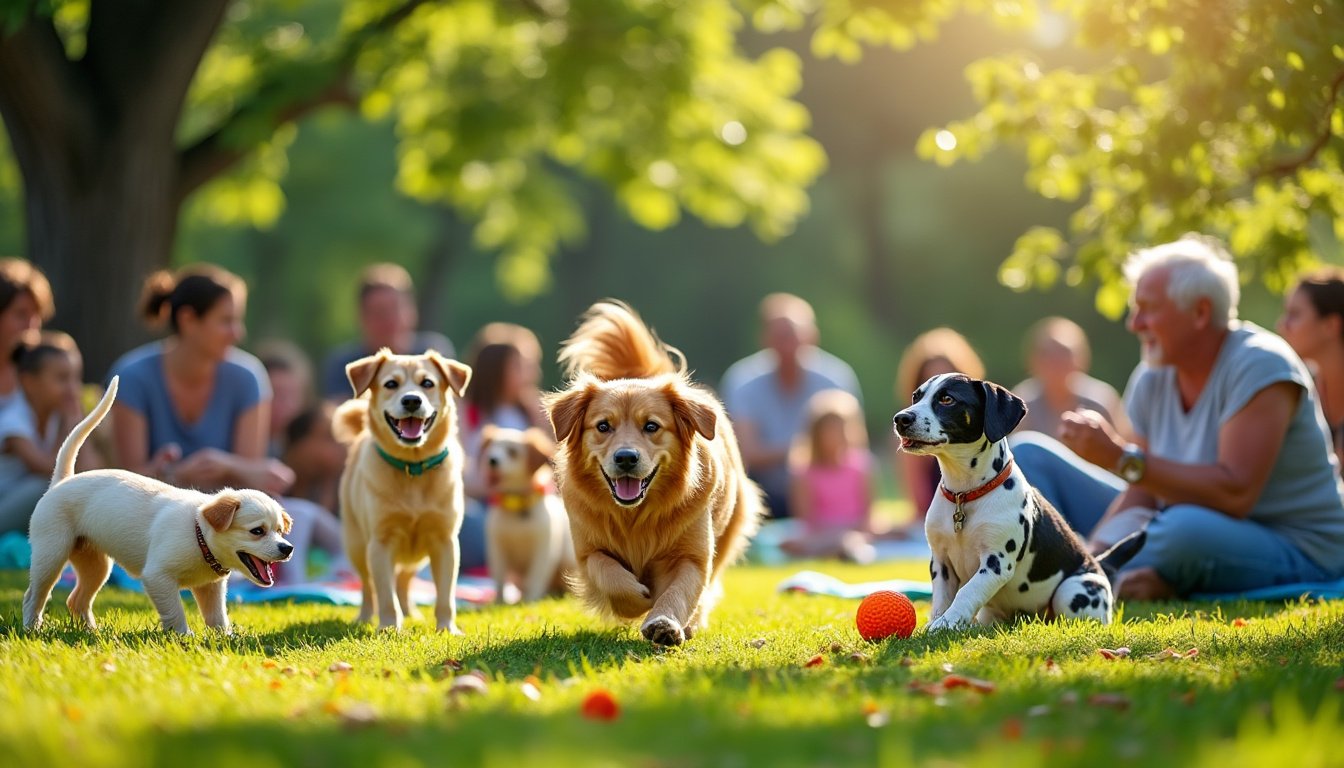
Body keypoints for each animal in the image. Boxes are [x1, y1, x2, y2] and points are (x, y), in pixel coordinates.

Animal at [23, 379, 297, 637]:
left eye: (280, 531)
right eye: (257, 531)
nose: (288, 548)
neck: (199, 534)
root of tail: (61, 481)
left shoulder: (210, 588)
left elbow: (217, 617)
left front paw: (225, 638)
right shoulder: (157, 577)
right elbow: (175, 611)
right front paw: (184, 636)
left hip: (96, 565)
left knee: (76, 600)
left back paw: (91, 632)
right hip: (51, 554)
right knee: (33, 596)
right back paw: (32, 629)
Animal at [334, 347, 473, 632]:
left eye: (427, 383)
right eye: (391, 384)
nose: (411, 400)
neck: (413, 469)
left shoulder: (445, 542)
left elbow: (446, 595)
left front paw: (447, 628)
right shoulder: (380, 543)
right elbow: (385, 595)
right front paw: (388, 627)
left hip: (417, 557)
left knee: (404, 581)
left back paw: (411, 613)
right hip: (357, 546)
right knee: (368, 587)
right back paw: (365, 617)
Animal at [478, 425, 572, 605]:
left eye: (512, 452)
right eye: (492, 447)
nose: (492, 460)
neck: (517, 507)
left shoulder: (543, 549)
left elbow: (535, 577)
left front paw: (530, 601)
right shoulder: (497, 548)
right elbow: (499, 579)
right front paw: (499, 603)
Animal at [892, 373, 1145, 632]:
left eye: (946, 399)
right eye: (916, 396)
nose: (901, 419)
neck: (964, 495)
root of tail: (1100, 565)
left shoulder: (996, 563)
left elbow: (967, 592)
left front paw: (947, 622)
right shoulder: (941, 562)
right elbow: (942, 600)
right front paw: (938, 621)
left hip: (1071, 593)